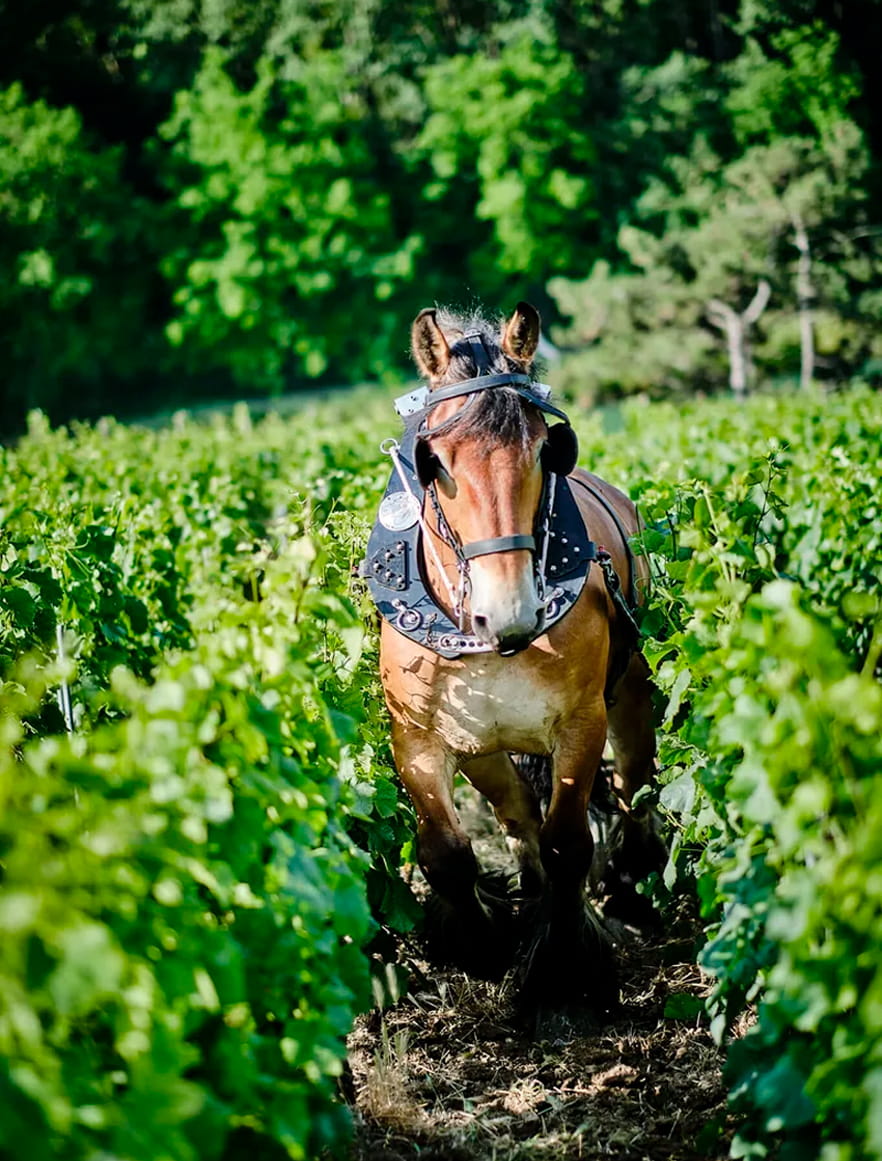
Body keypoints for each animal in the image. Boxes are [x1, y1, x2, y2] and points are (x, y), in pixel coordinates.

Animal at [364, 303, 660, 1017]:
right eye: (433, 460)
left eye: (544, 449)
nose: (510, 613)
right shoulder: (419, 736)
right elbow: (447, 852)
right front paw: (481, 948)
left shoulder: (581, 723)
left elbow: (568, 841)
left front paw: (564, 963)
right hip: (485, 748)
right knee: (517, 815)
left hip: (632, 694)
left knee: (634, 784)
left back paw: (629, 884)